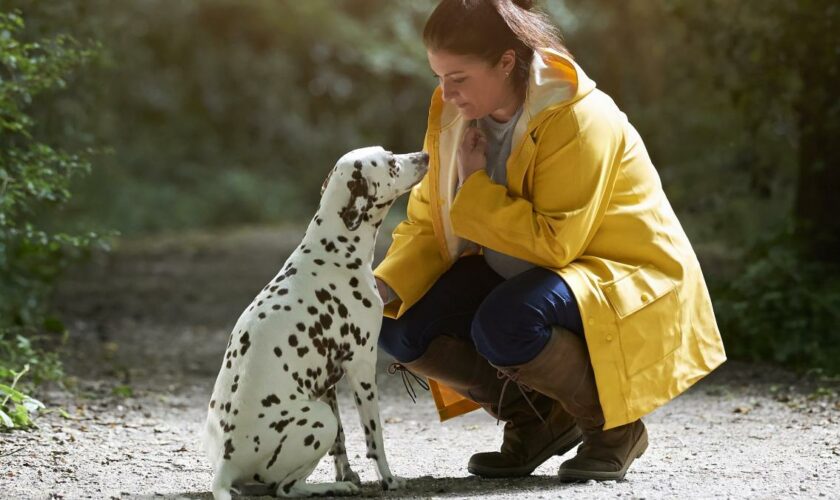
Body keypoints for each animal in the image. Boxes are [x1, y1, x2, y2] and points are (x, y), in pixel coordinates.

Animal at [202, 146, 426, 498]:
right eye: (391, 163)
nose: (425, 155)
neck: (333, 251)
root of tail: (224, 469)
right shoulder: (362, 368)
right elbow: (374, 438)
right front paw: (388, 479)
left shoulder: (327, 386)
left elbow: (341, 444)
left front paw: (347, 473)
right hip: (321, 421)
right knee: (286, 488)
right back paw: (332, 488)